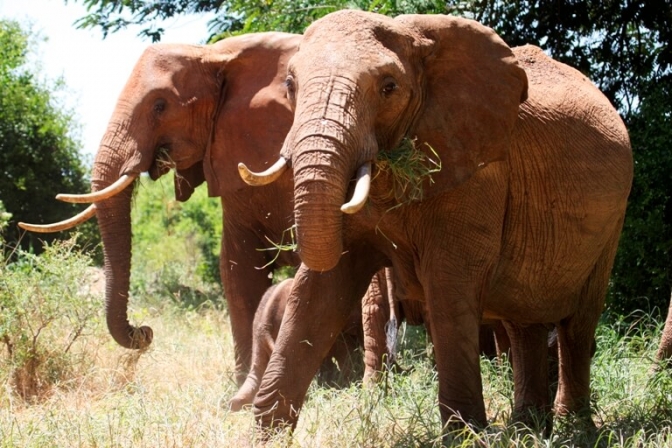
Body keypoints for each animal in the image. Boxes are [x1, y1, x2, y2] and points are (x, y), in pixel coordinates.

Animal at [242, 9, 636, 430]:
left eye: (389, 87)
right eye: (290, 84)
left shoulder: (479, 173)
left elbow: (448, 287)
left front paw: (466, 433)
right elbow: (320, 288)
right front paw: (267, 433)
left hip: (612, 223)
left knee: (577, 324)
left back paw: (574, 427)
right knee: (523, 322)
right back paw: (528, 427)